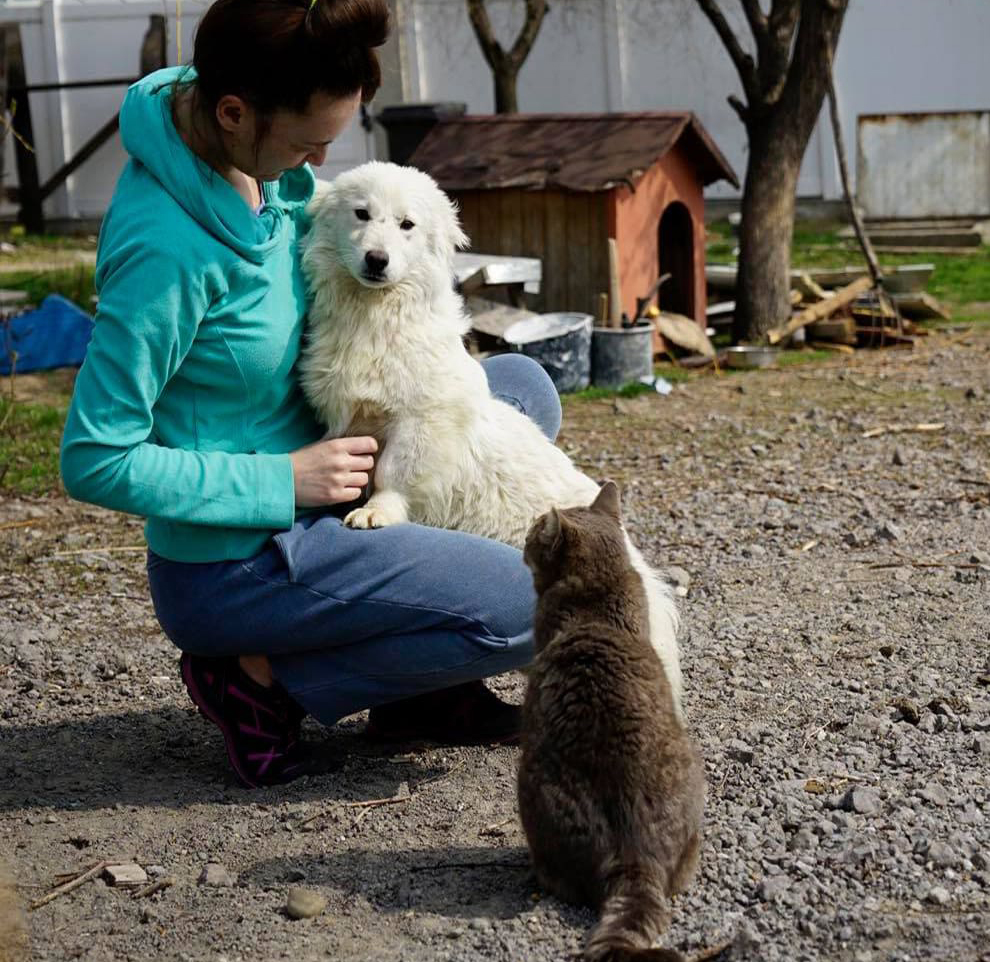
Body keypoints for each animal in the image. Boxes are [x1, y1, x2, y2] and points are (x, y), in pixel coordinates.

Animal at [300, 161, 682, 711]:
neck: (378, 316)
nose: (377, 259)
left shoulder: (427, 413)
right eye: (361, 213)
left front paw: (376, 512)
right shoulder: (346, 413)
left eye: (407, 224)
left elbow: (399, 466)